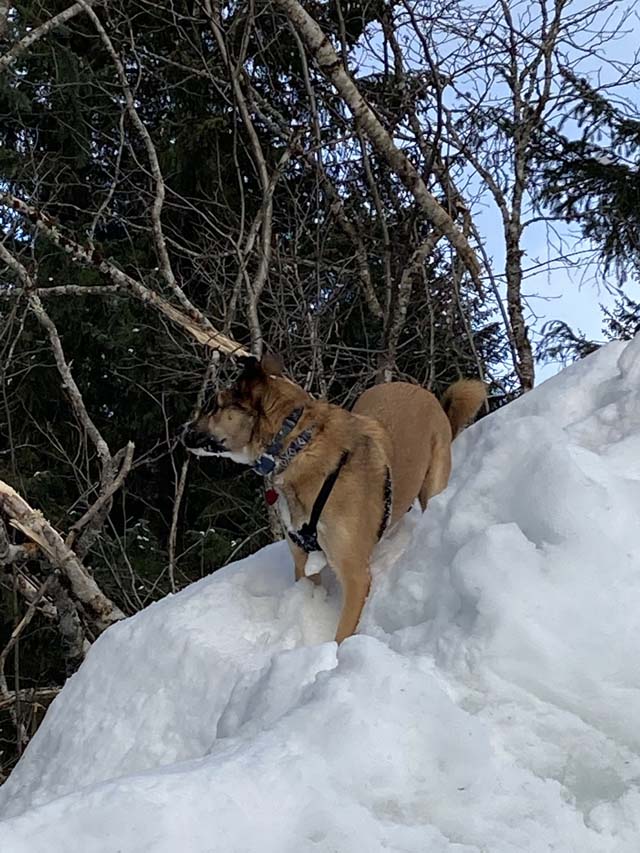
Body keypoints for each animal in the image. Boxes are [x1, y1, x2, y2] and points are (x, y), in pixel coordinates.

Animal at [182, 355, 486, 643]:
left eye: (214, 406)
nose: (183, 429)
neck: (296, 444)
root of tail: (422, 391)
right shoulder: (303, 562)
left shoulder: (355, 574)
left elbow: (343, 634)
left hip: (434, 482)